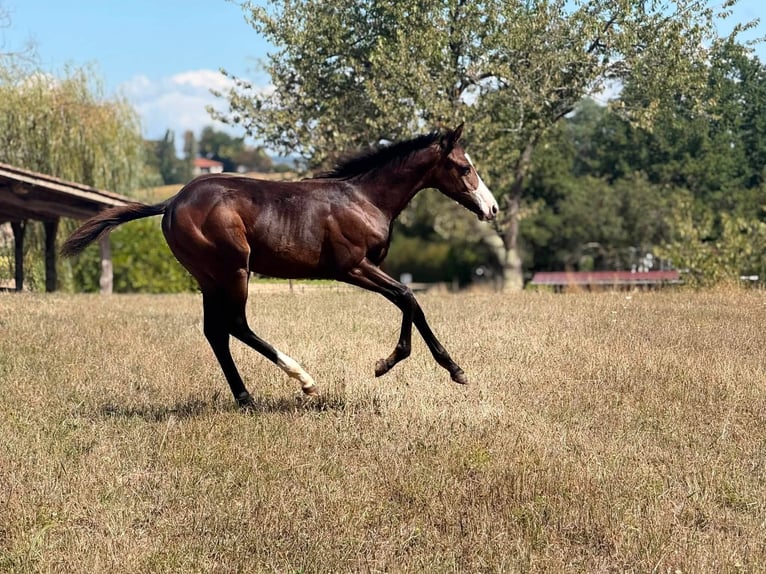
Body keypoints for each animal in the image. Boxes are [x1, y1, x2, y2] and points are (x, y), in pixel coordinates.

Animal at [61, 124, 499, 408]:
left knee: (216, 332)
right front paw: (424, 366)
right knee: (236, 325)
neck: (363, 198)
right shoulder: (352, 268)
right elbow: (409, 296)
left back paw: (246, 398)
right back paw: (303, 380)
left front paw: (423, 365)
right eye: (464, 167)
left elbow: (409, 300)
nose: (491, 208)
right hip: (234, 271)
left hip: (208, 278)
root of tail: (171, 203)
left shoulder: (365, 270)